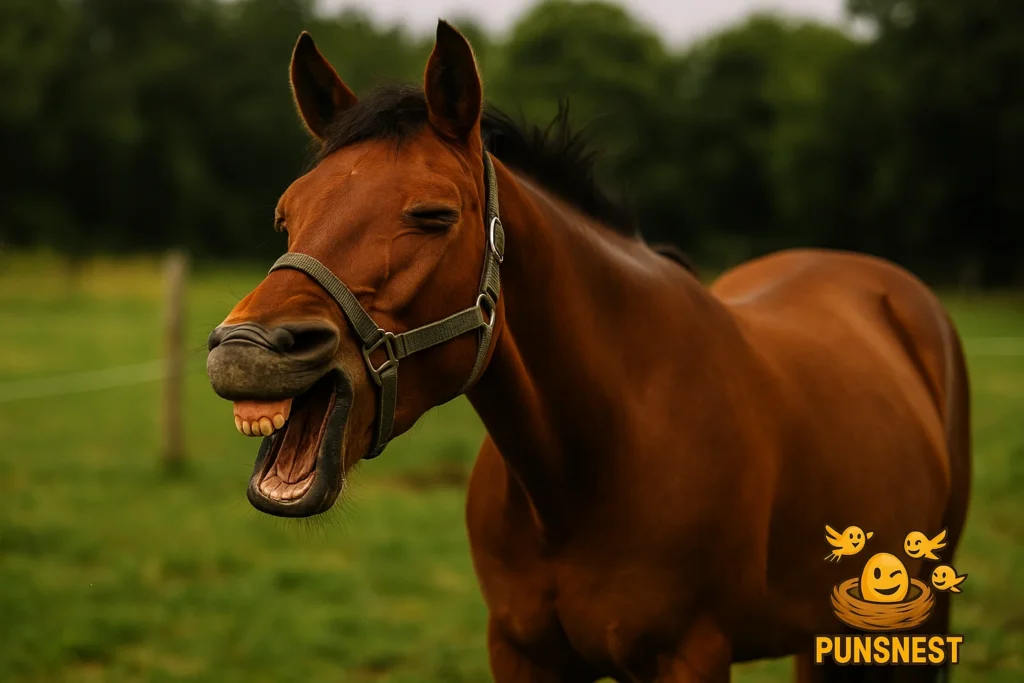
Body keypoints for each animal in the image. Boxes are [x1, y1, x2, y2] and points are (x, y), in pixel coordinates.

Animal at [206, 22, 971, 683]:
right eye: (286, 214)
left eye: (433, 216)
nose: (246, 349)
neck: (593, 462)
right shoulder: (521, 653)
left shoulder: (689, 654)